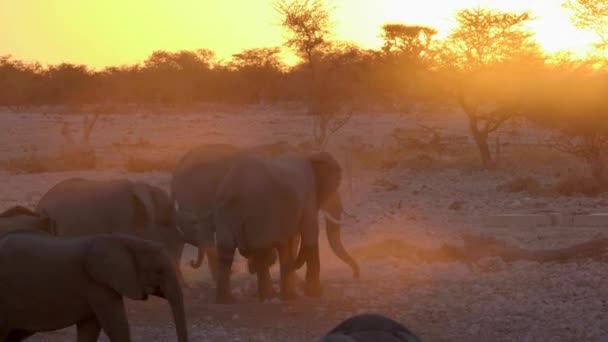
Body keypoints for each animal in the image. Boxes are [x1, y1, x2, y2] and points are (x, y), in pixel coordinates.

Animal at [209, 151, 352, 304]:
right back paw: (270, 296)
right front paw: (315, 293)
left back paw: (228, 300)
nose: (356, 275)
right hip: (258, 212)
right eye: (335, 185)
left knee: (226, 252)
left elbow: (293, 240)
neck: (309, 155)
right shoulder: (308, 195)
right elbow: (310, 235)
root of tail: (233, 188)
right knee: (262, 250)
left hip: (224, 210)